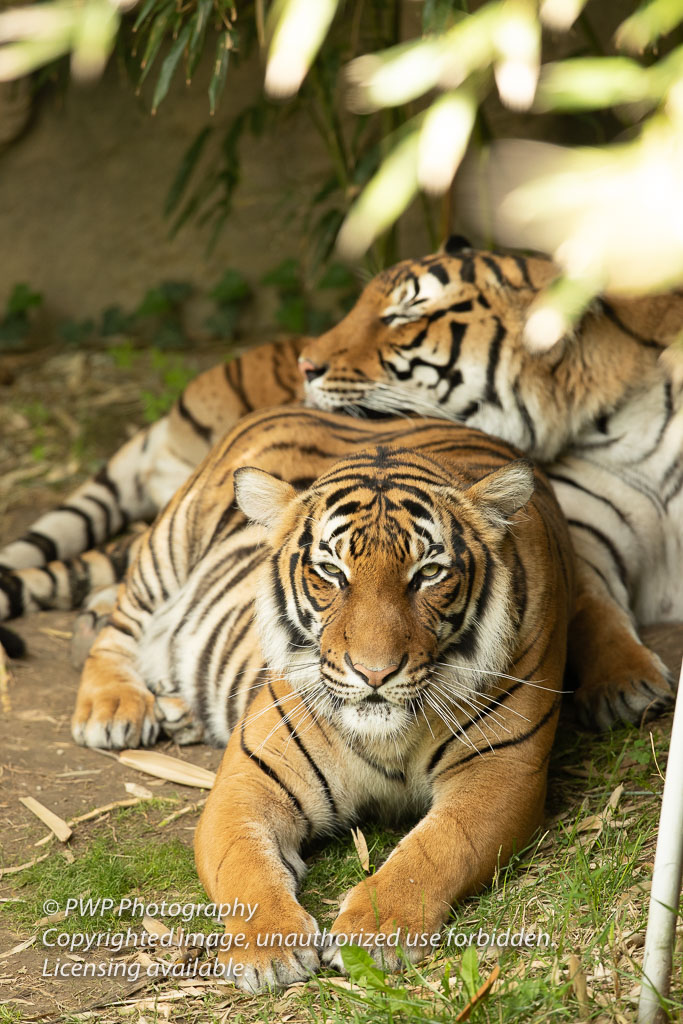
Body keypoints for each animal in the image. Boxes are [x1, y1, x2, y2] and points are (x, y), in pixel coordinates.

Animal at [1, 242, 683, 733]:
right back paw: (115, 703)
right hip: (172, 542)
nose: (308, 364)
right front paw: (627, 684)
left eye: (405, 315)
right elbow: (597, 609)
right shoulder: (587, 539)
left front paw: (626, 685)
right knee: (122, 617)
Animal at [70, 405, 577, 991]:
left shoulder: (501, 771)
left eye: (428, 573)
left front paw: (371, 934)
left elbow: (433, 852)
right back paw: (113, 709)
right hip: (167, 551)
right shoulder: (248, 780)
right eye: (332, 571)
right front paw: (269, 948)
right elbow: (245, 865)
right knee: (119, 628)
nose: (375, 672)